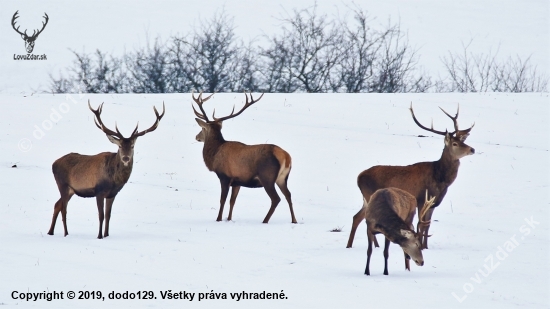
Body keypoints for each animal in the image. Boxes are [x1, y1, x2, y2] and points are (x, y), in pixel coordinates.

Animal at [47, 101, 165, 238]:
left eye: (132, 146)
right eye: (119, 146)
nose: (125, 158)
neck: (114, 180)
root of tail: (53, 163)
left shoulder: (112, 194)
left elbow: (108, 215)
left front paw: (107, 235)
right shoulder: (99, 191)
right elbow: (101, 215)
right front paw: (99, 236)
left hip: (71, 190)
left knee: (57, 205)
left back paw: (50, 232)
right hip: (63, 185)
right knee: (64, 209)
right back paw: (66, 233)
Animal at [193, 90, 298, 223]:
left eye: (202, 128)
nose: (196, 137)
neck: (214, 155)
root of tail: (286, 157)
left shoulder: (224, 176)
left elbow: (223, 199)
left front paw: (218, 219)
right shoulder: (237, 181)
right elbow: (232, 201)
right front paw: (229, 219)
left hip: (267, 176)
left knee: (276, 198)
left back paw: (265, 221)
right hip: (282, 178)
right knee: (288, 195)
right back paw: (294, 220)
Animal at [350, 103, 474, 248]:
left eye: (463, 141)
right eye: (455, 143)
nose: (472, 149)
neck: (440, 179)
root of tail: (359, 176)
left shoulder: (433, 203)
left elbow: (428, 225)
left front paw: (426, 246)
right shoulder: (421, 199)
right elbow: (421, 224)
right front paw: (421, 245)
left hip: (366, 199)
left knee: (357, 217)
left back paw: (354, 245)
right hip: (369, 195)